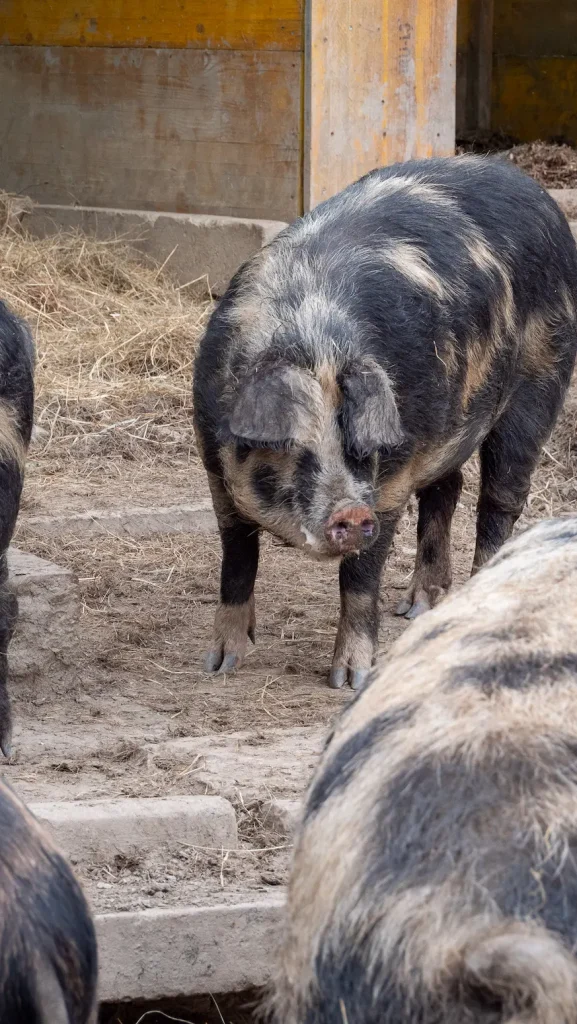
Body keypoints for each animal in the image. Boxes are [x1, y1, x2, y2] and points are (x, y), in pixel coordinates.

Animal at [193, 155, 577, 689]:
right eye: (292, 446)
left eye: (361, 446)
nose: (352, 512)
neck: (315, 345)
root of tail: (534, 189)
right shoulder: (213, 463)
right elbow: (236, 558)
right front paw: (221, 663)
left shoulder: (393, 478)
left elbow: (359, 578)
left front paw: (350, 681)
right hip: (451, 424)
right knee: (447, 489)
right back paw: (417, 609)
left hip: (541, 379)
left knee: (500, 500)